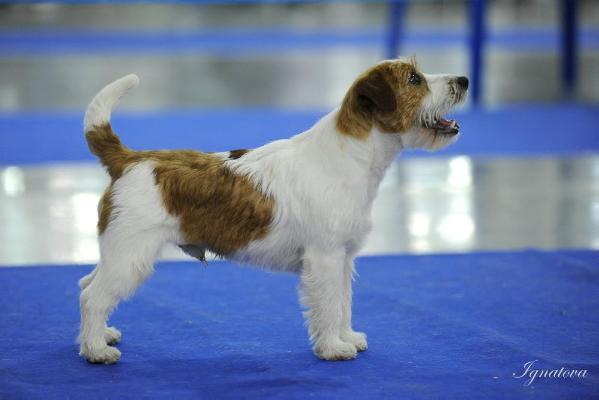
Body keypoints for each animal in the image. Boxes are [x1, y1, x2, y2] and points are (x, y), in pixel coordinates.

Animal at [77, 57, 468, 364]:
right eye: (414, 79)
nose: (464, 80)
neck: (350, 155)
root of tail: (130, 159)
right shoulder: (325, 257)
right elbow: (328, 304)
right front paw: (333, 348)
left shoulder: (343, 258)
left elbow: (343, 302)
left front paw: (348, 337)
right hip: (130, 255)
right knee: (93, 296)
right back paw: (97, 350)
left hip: (118, 252)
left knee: (87, 284)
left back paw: (99, 336)